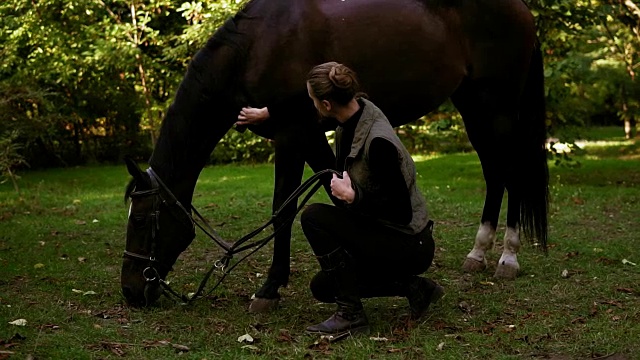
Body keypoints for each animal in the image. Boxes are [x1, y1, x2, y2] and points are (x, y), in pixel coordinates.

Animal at [121, 0, 552, 310]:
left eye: (141, 220)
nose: (131, 291)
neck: (257, 47)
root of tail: (521, 9)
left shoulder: (294, 135)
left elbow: (284, 210)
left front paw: (270, 288)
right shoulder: (310, 136)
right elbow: (329, 192)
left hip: (497, 108)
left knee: (513, 173)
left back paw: (508, 258)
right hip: (473, 106)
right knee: (495, 173)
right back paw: (478, 253)